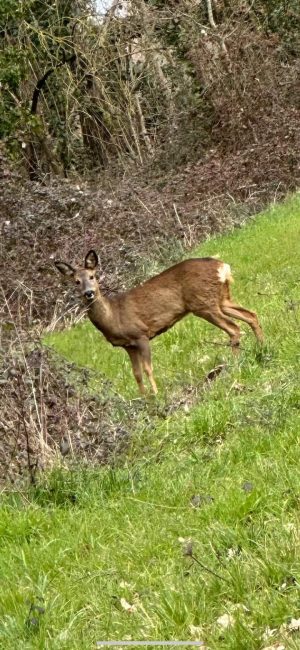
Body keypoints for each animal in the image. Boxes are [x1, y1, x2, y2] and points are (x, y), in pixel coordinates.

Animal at [55, 251, 264, 394]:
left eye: (92, 277)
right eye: (76, 281)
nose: (89, 293)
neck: (113, 317)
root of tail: (222, 267)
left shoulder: (140, 334)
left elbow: (148, 369)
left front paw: (156, 394)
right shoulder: (127, 346)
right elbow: (136, 374)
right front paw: (145, 399)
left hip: (204, 303)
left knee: (234, 328)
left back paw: (235, 364)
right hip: (221, 299)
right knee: (251, 315)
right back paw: (262, 348)